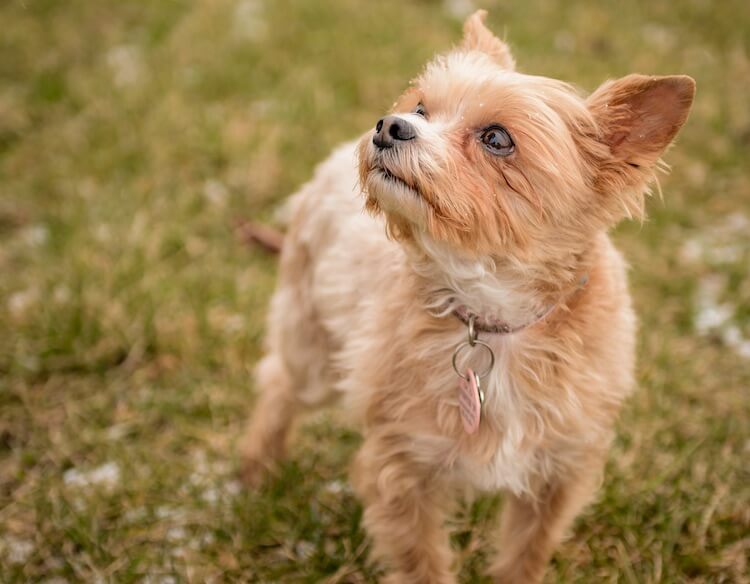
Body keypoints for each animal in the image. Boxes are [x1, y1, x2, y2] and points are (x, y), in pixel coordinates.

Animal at [244, 11, 696, 580]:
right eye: (421, 108)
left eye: (496, 138)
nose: (389, 125)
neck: (491, 314)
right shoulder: (401, 470)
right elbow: (421, 563)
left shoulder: (559, 473)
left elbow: (525, 554)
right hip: (313, 346)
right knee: (279, 384)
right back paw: (256, 468)